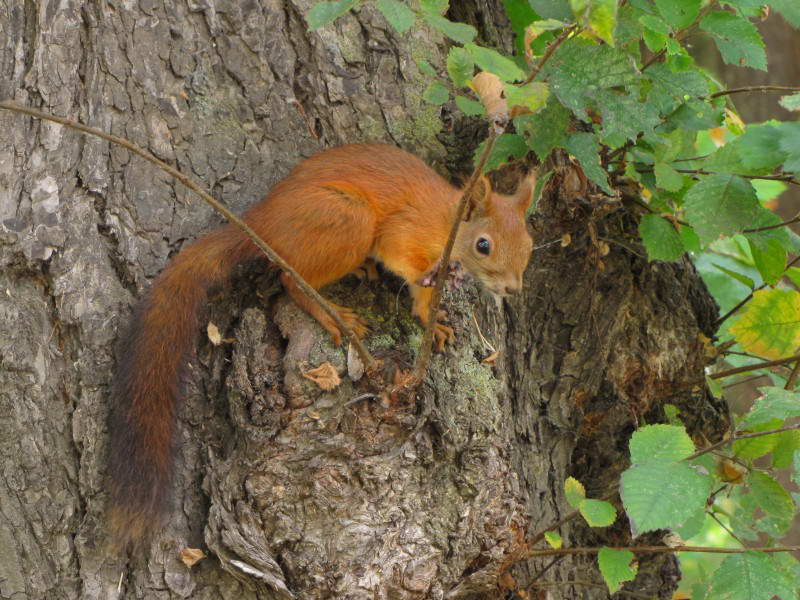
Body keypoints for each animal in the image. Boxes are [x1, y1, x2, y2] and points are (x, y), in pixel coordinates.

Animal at [104, 143, 532, 548]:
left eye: (528, 245)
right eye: (483, 245)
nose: (513, 289)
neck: (446, 221)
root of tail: (263, 223)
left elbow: (422, 302)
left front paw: (433, 320)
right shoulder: (406, 230)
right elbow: (407, 262)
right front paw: (429, 282)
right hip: (346, 218)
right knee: (292, 281)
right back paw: (330, 312)